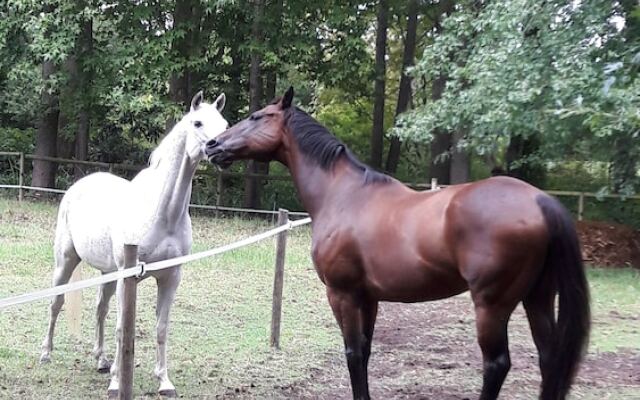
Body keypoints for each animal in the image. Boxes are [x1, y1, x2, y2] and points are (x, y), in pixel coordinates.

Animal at [39, 91, 228, 396]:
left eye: (225, 123)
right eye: (198, 122)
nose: (221, 151)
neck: (162, 213)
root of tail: (79, 185)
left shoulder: (171, 277)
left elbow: (161, 327)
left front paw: (164, 381)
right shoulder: (127, 277)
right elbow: (121, 329)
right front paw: (117, 383)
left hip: (107, 273)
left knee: (100, 310)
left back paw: (101, 360)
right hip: (66, 261)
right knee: (56, 303)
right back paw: (46, 353)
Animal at [205, 88, 592, 400]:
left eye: (257, 117)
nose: (212, 146)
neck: (342, 195)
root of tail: (540, 200)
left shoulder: (342, 294)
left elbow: (352, 353)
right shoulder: (368, 297)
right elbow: (365, 351)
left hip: (492, 305)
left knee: (497, 364)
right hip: (538, 297)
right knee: (549, 359)